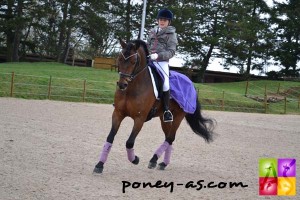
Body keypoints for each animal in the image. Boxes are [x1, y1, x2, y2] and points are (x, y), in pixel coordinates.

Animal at [92, 39, 214, 173]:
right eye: (119, 59)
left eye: (133, 61)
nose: (122, 85)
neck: (132, 88)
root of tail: (190, 83)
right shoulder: (118, 114)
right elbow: (110, 138)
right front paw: (99, 165)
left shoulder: (139, 119)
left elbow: (129, 142)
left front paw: (135, 159)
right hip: (164, 119)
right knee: (168, 138)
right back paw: (161, 163)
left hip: (179, 116)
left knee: (170, 138)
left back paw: (155, 159)